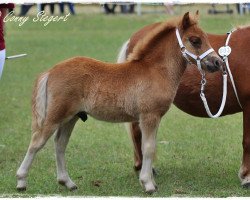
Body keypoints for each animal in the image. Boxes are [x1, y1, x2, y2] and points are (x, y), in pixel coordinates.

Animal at [16, 12, 222, 192]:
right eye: (195, 40)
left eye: (205, 37)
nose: (217, 62)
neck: (155, 70)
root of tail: (51, 71)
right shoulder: (149, 116)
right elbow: (148, 148)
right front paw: (148, 184)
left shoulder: (153, 118)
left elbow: (150, 147)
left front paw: (151, 182)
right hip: (56, 115)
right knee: (37, 142)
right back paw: (21, 182)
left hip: (71, 117)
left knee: (59, 145)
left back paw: (68, 183)